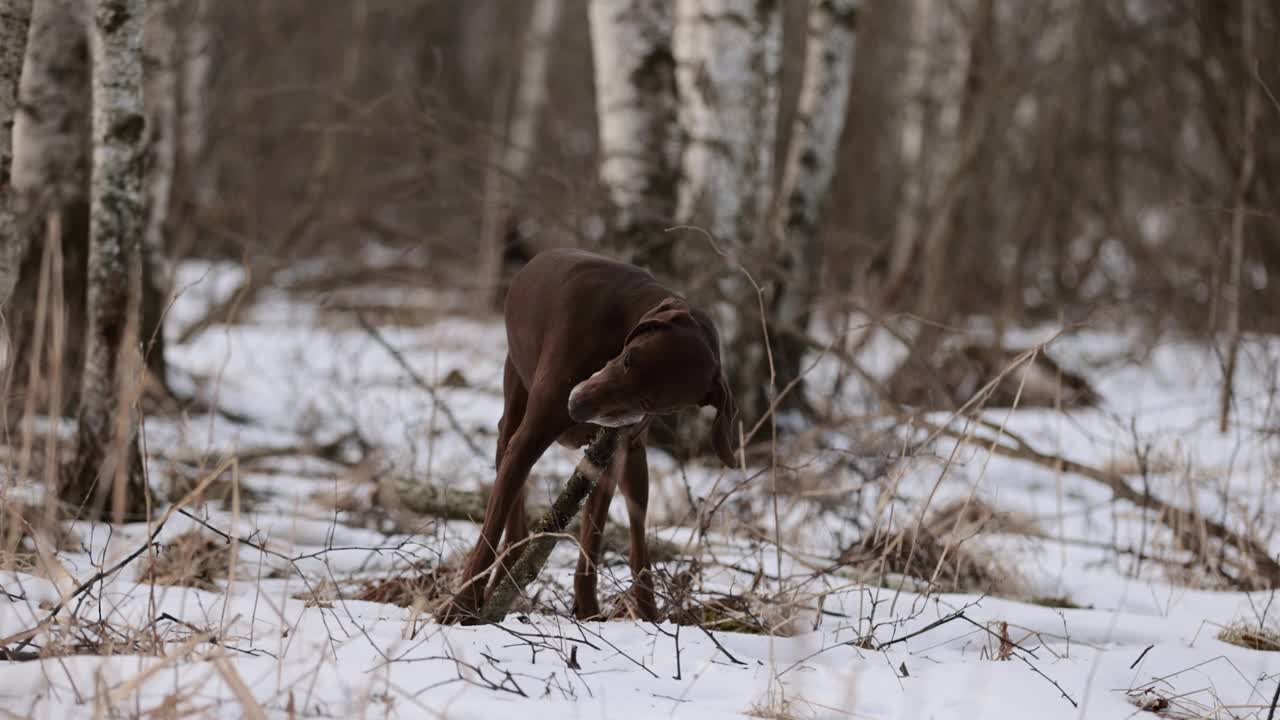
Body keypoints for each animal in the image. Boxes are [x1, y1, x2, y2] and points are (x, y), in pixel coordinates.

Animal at [440, 248, 742, 622]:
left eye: (651, 402)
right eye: (628, 360)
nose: (578, 408)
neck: (620, 325)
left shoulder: (607, 457)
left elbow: (592, 542)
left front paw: (588, 612)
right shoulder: (529, 439)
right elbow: (490, 532)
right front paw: (457, 608)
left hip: (634, 464)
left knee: (637, 537)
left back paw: (648, 612)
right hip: (513, 411)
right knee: (511, 502)